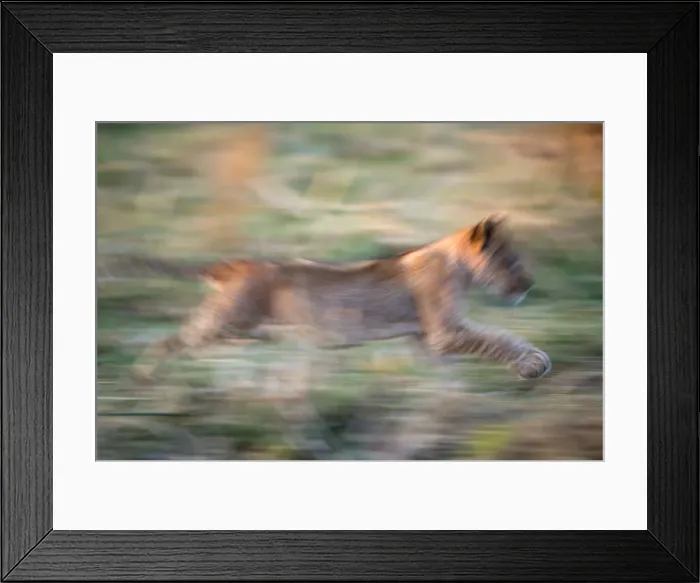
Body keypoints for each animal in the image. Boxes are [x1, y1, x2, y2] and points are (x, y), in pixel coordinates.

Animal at [105, 214, 551, 382]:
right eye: (510, 260)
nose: (528, 284)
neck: (458, 265)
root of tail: (235, 264)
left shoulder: (426, 338)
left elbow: (453, 363)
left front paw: (447, 392)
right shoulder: (444, 331)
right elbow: (497, 338)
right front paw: (534, 362)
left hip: (238, 326)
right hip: (225, 320)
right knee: (171, 340)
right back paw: (146, 375)